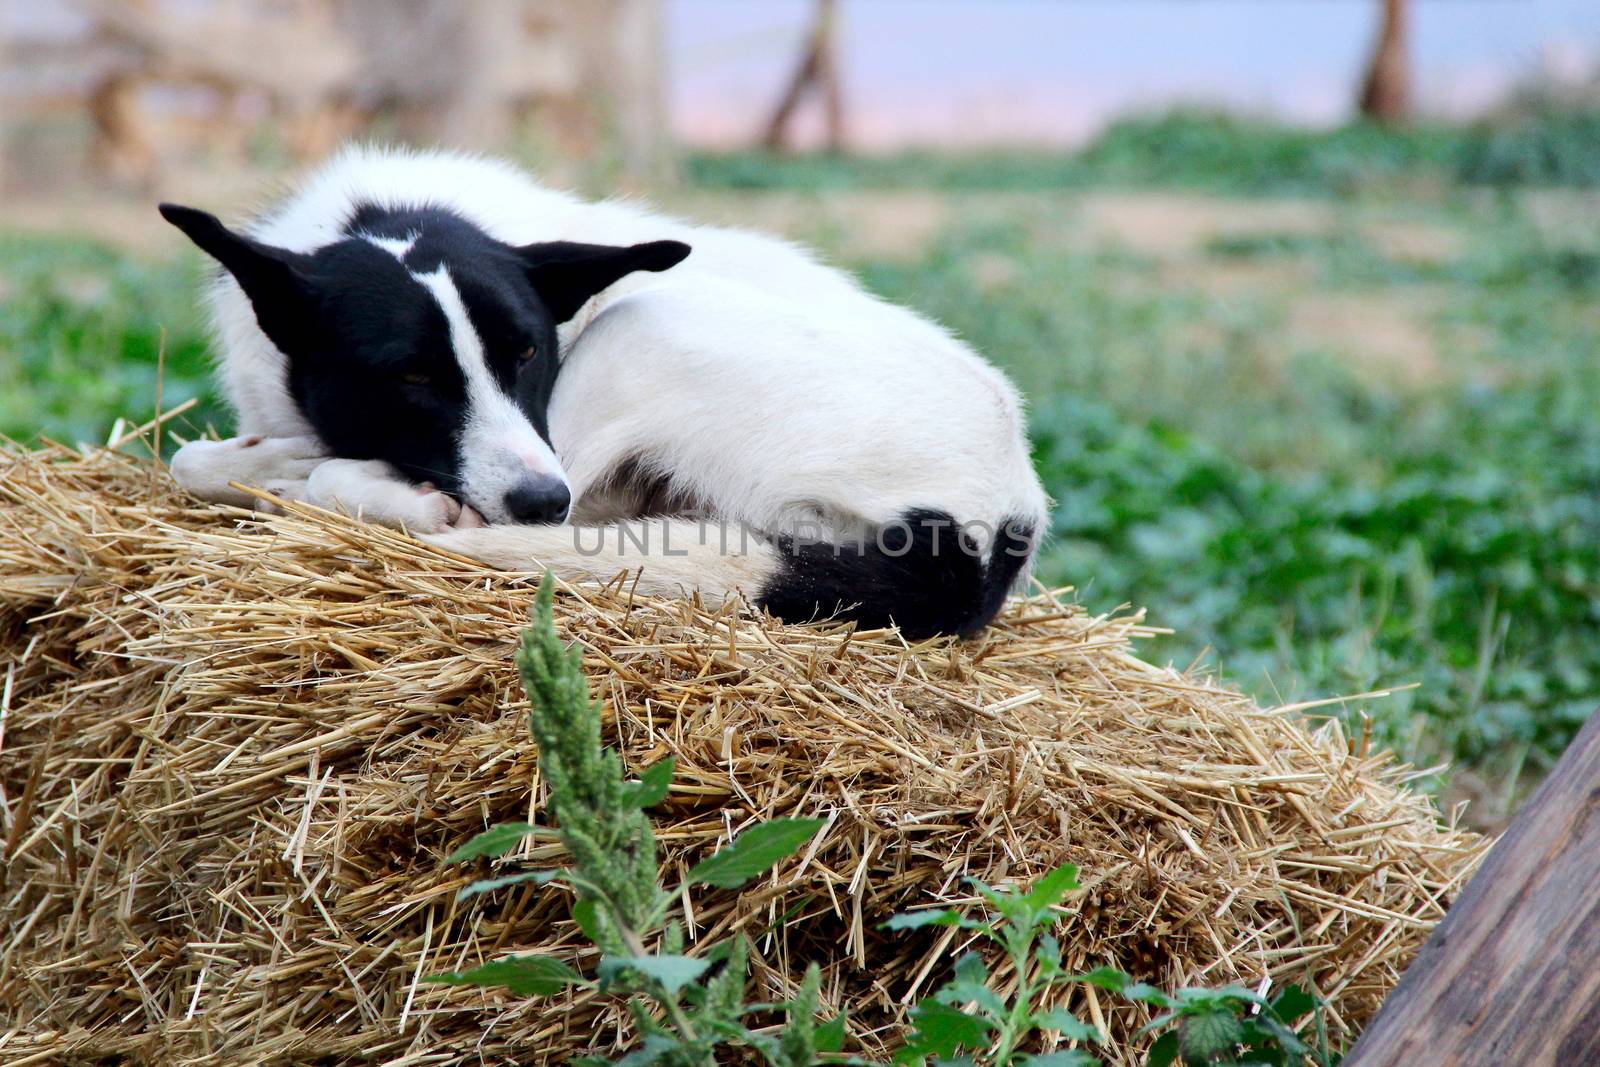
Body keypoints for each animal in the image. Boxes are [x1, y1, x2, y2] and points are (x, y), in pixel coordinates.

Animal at [162, 146, 1049, 639]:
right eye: (410, 375)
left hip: (637, 338)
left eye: (528, 353)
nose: (538, 500)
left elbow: (297, 469)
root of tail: (997, 525)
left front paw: (335, 483)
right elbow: (194, 460)